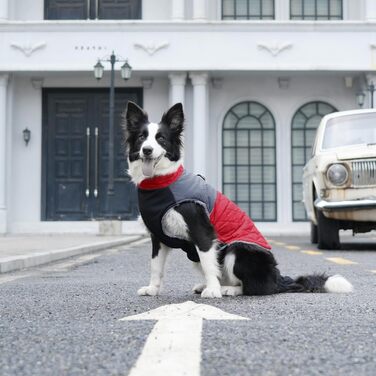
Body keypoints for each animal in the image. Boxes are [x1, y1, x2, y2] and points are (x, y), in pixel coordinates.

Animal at [123, 101, 352, 298]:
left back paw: (228, 290)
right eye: (142, 137)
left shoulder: (202, 231)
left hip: (238, 250)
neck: (161, 181)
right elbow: (156, 266)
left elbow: (209, 264)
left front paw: (213, 291)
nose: (147, 150)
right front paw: (153, 288)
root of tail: (279, 278)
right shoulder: (158, 236)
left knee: (257, 287)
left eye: (161, 138)